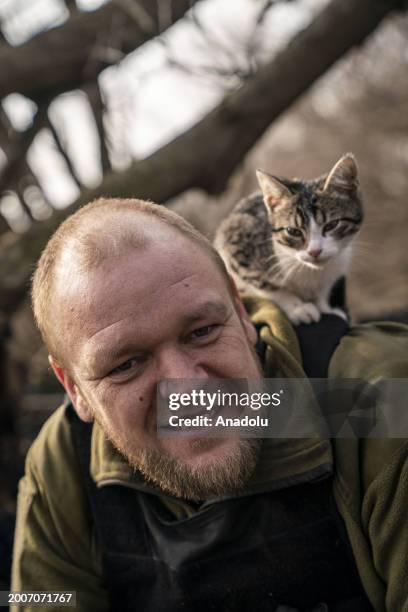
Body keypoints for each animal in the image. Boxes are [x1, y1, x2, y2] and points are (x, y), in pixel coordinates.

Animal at [215, 153, 362, 326]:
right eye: (293, 231)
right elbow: (269, 287)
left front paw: (325, 308)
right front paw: (297, 308)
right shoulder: (234, 243)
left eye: (332, 225)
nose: (315, 251)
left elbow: (321, 291)